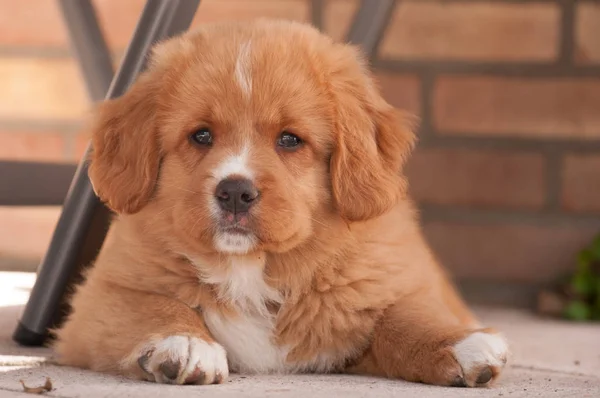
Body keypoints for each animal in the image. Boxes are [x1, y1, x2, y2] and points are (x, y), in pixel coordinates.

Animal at [54, 17, 508, 386]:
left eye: (290, 140)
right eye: (201, 135)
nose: (235, 192)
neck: (251, 267)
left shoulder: (390, 280)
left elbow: (405, 315)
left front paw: (459, 343)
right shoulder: (98, 299)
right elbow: (154, 305)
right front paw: (184, 342)